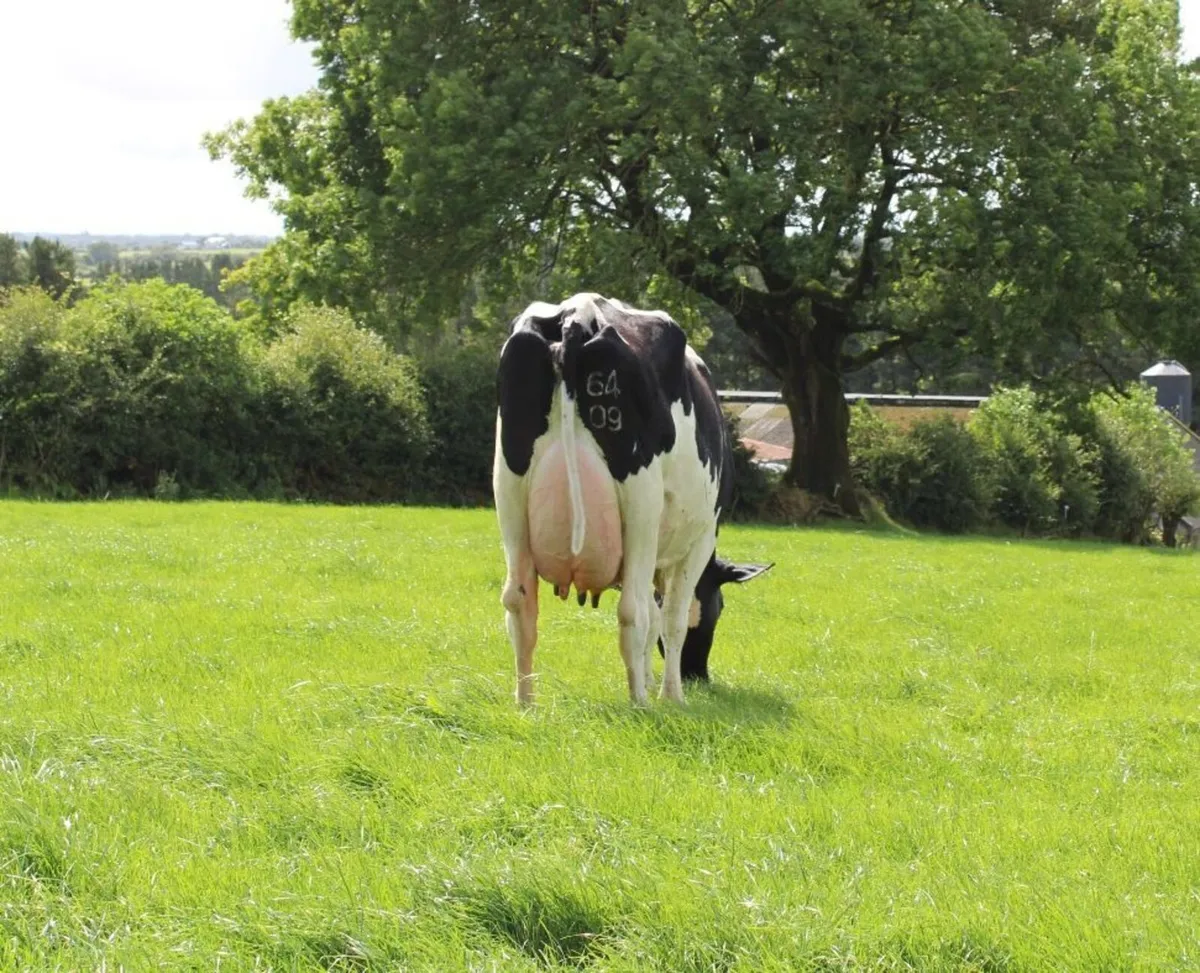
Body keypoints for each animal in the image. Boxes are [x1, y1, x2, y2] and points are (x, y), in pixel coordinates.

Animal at [493, 293, 771, 706]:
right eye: (720, 608)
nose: (697, 676)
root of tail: (578, 315)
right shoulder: (701, 539)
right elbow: (671, 619)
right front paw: (671, 696)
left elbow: (658, 618)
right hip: (641, 505)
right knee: (633, 612)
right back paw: (640, 702)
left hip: (509, 495)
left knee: (519, 602)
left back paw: (526, 703)